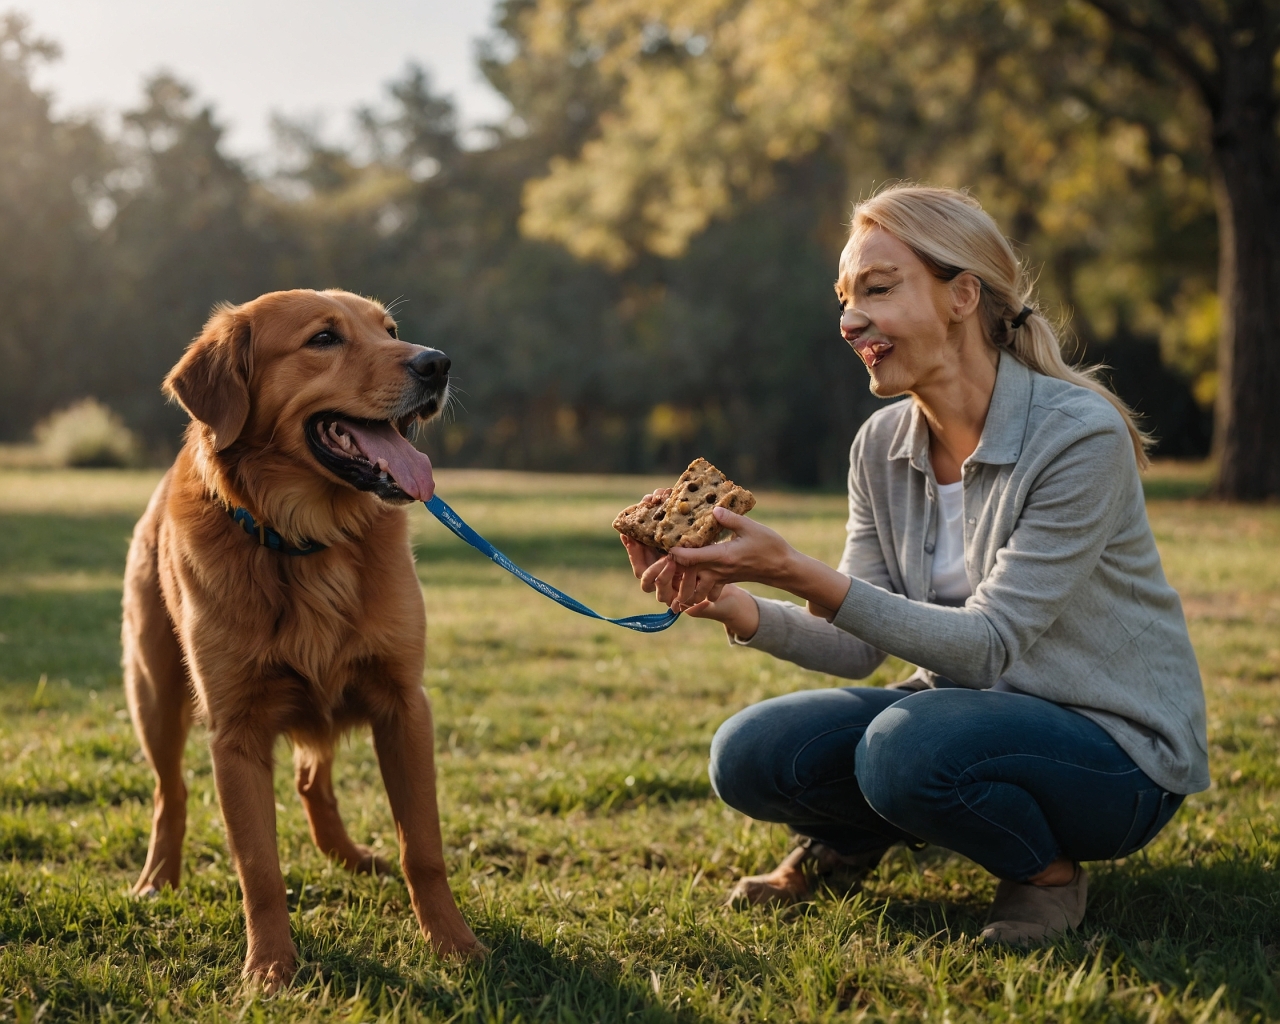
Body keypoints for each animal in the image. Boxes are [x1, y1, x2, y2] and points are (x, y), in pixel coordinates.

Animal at [123, 285, 481, 983]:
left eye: (389, 330)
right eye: (323, 338)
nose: (438, 363)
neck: (307, 541)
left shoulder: (404, 705)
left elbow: (423, 848)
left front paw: (455, 945)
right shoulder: (234, 732)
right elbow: (259, 870)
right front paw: (269, 969)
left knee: (312, 780)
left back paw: (350, 858)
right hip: (154, 695)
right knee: (169, 793)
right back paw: (156, 880)